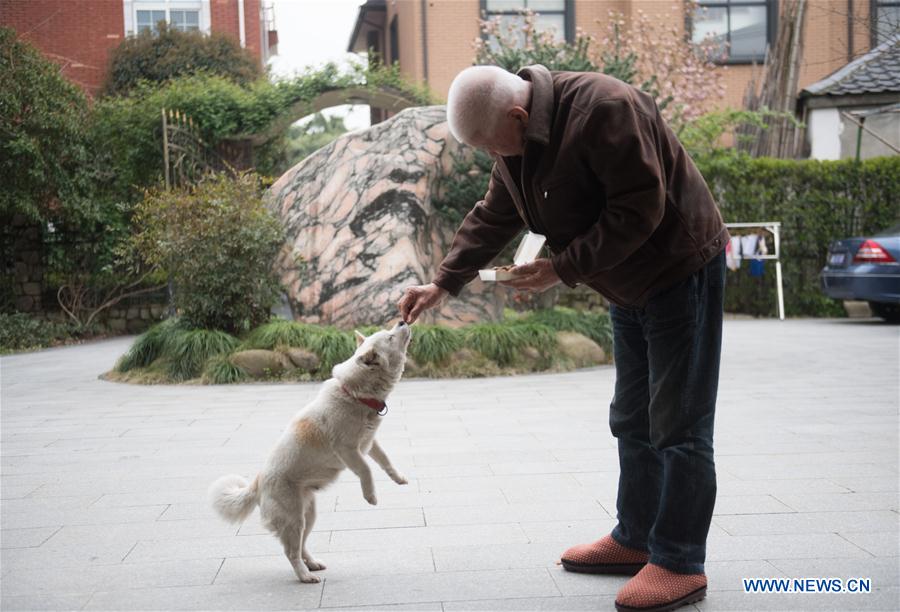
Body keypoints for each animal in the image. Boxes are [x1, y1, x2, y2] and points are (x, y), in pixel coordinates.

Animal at [207, 320, 412, 584]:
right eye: (389, 338)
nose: (403, 321)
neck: (355, 394)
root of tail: (258, 483)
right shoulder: (347, 450)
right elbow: (366, 469)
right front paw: (370, 496)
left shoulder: (369, 442)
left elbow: (385, 460)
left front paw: (399, 478)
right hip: (294, 519)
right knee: (291, 552)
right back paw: (304, 576)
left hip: (308, 516)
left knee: (301, 547)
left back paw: (312, 564)